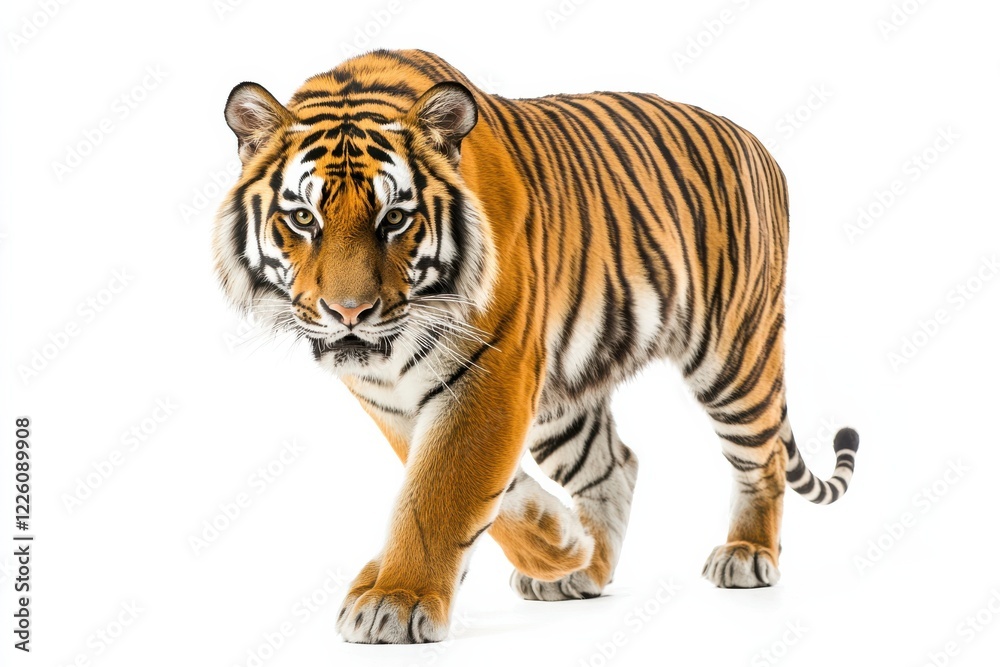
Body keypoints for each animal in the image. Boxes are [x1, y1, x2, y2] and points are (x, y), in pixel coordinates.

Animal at [213, 48, 859, 644]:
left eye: (395, 219)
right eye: (303, 219)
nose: (349, 313)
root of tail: (758, 144)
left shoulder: (492, 371)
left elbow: (440, 490)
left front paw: (396, 599)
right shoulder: (395, 398)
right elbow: (470, 489)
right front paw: (560, 543)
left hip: (732, 355)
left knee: (761, 460)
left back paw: (747, 554)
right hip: (564, 400)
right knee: (615, 465)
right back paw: (583, 568)